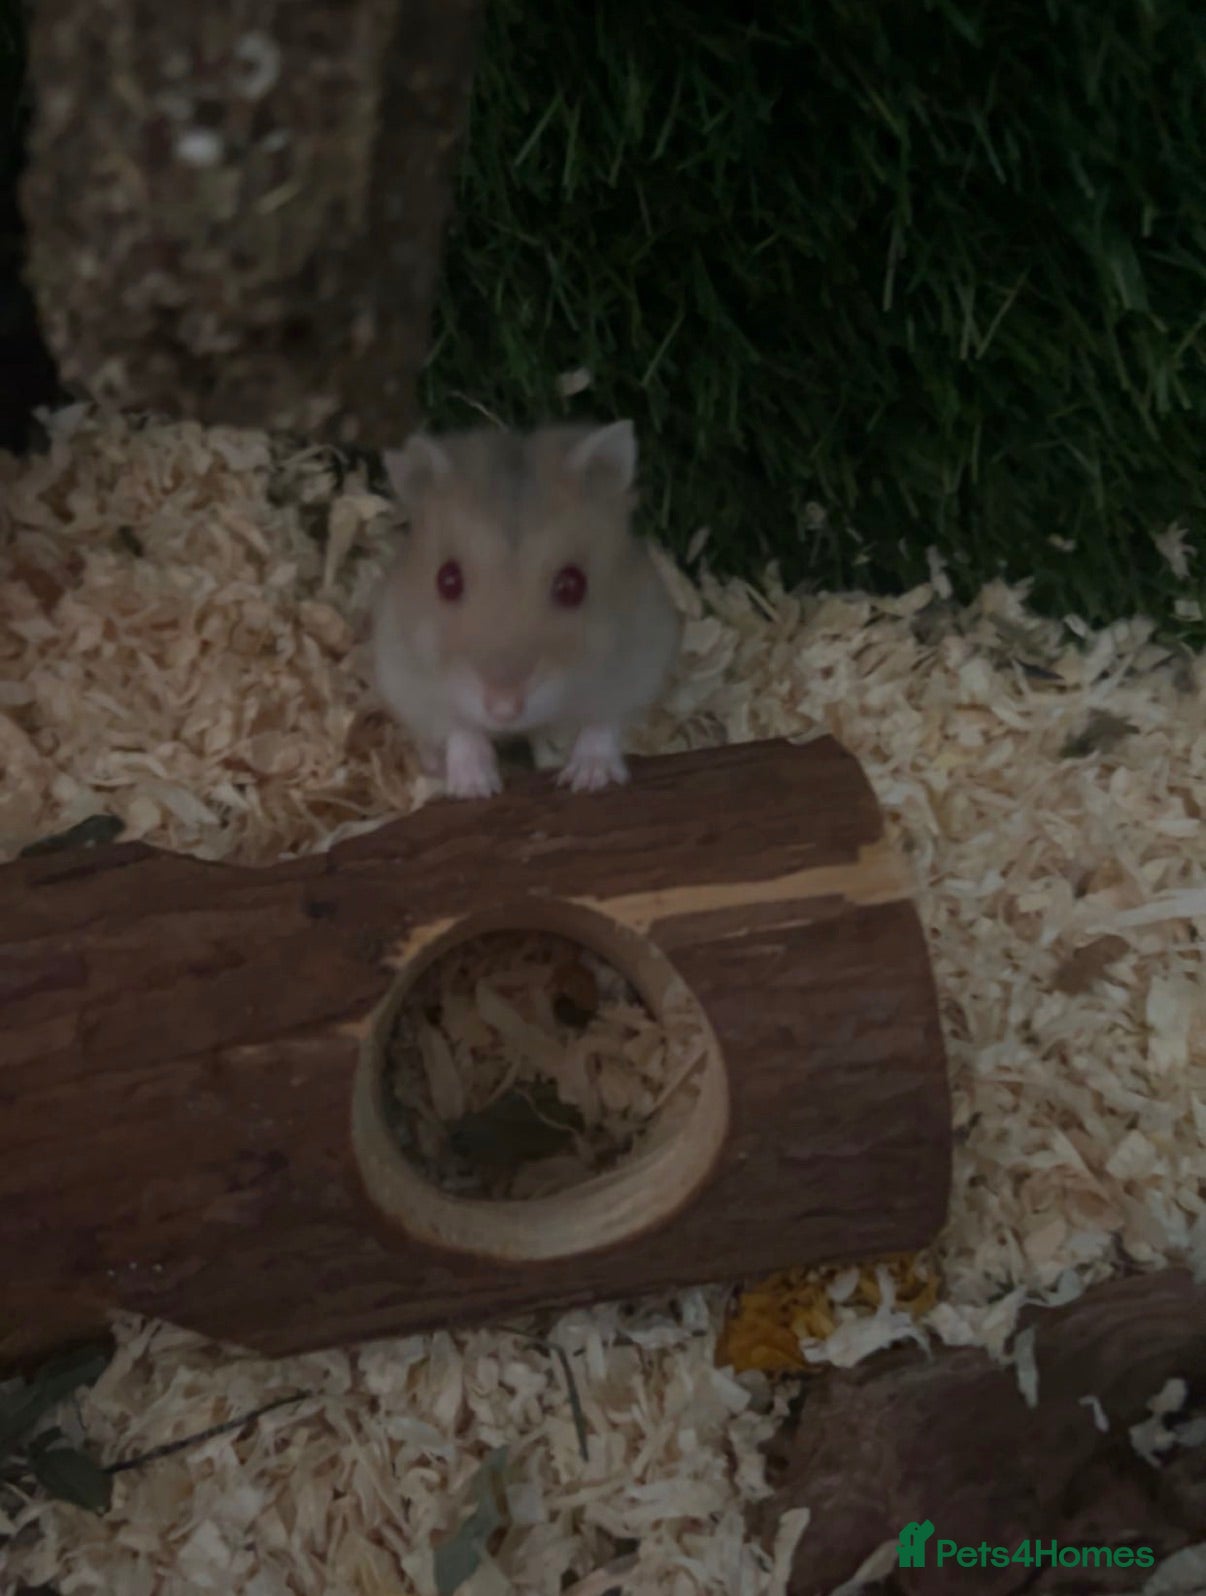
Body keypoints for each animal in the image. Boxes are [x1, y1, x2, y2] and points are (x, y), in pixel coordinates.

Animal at [369, 419, 681, 799]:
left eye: (572, 585)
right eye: (447, 580)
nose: (503, 709)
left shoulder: (637, 663)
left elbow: (602, 725)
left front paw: (587, 779)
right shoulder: (408, 678)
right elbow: (461, 731)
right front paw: (476, 788)